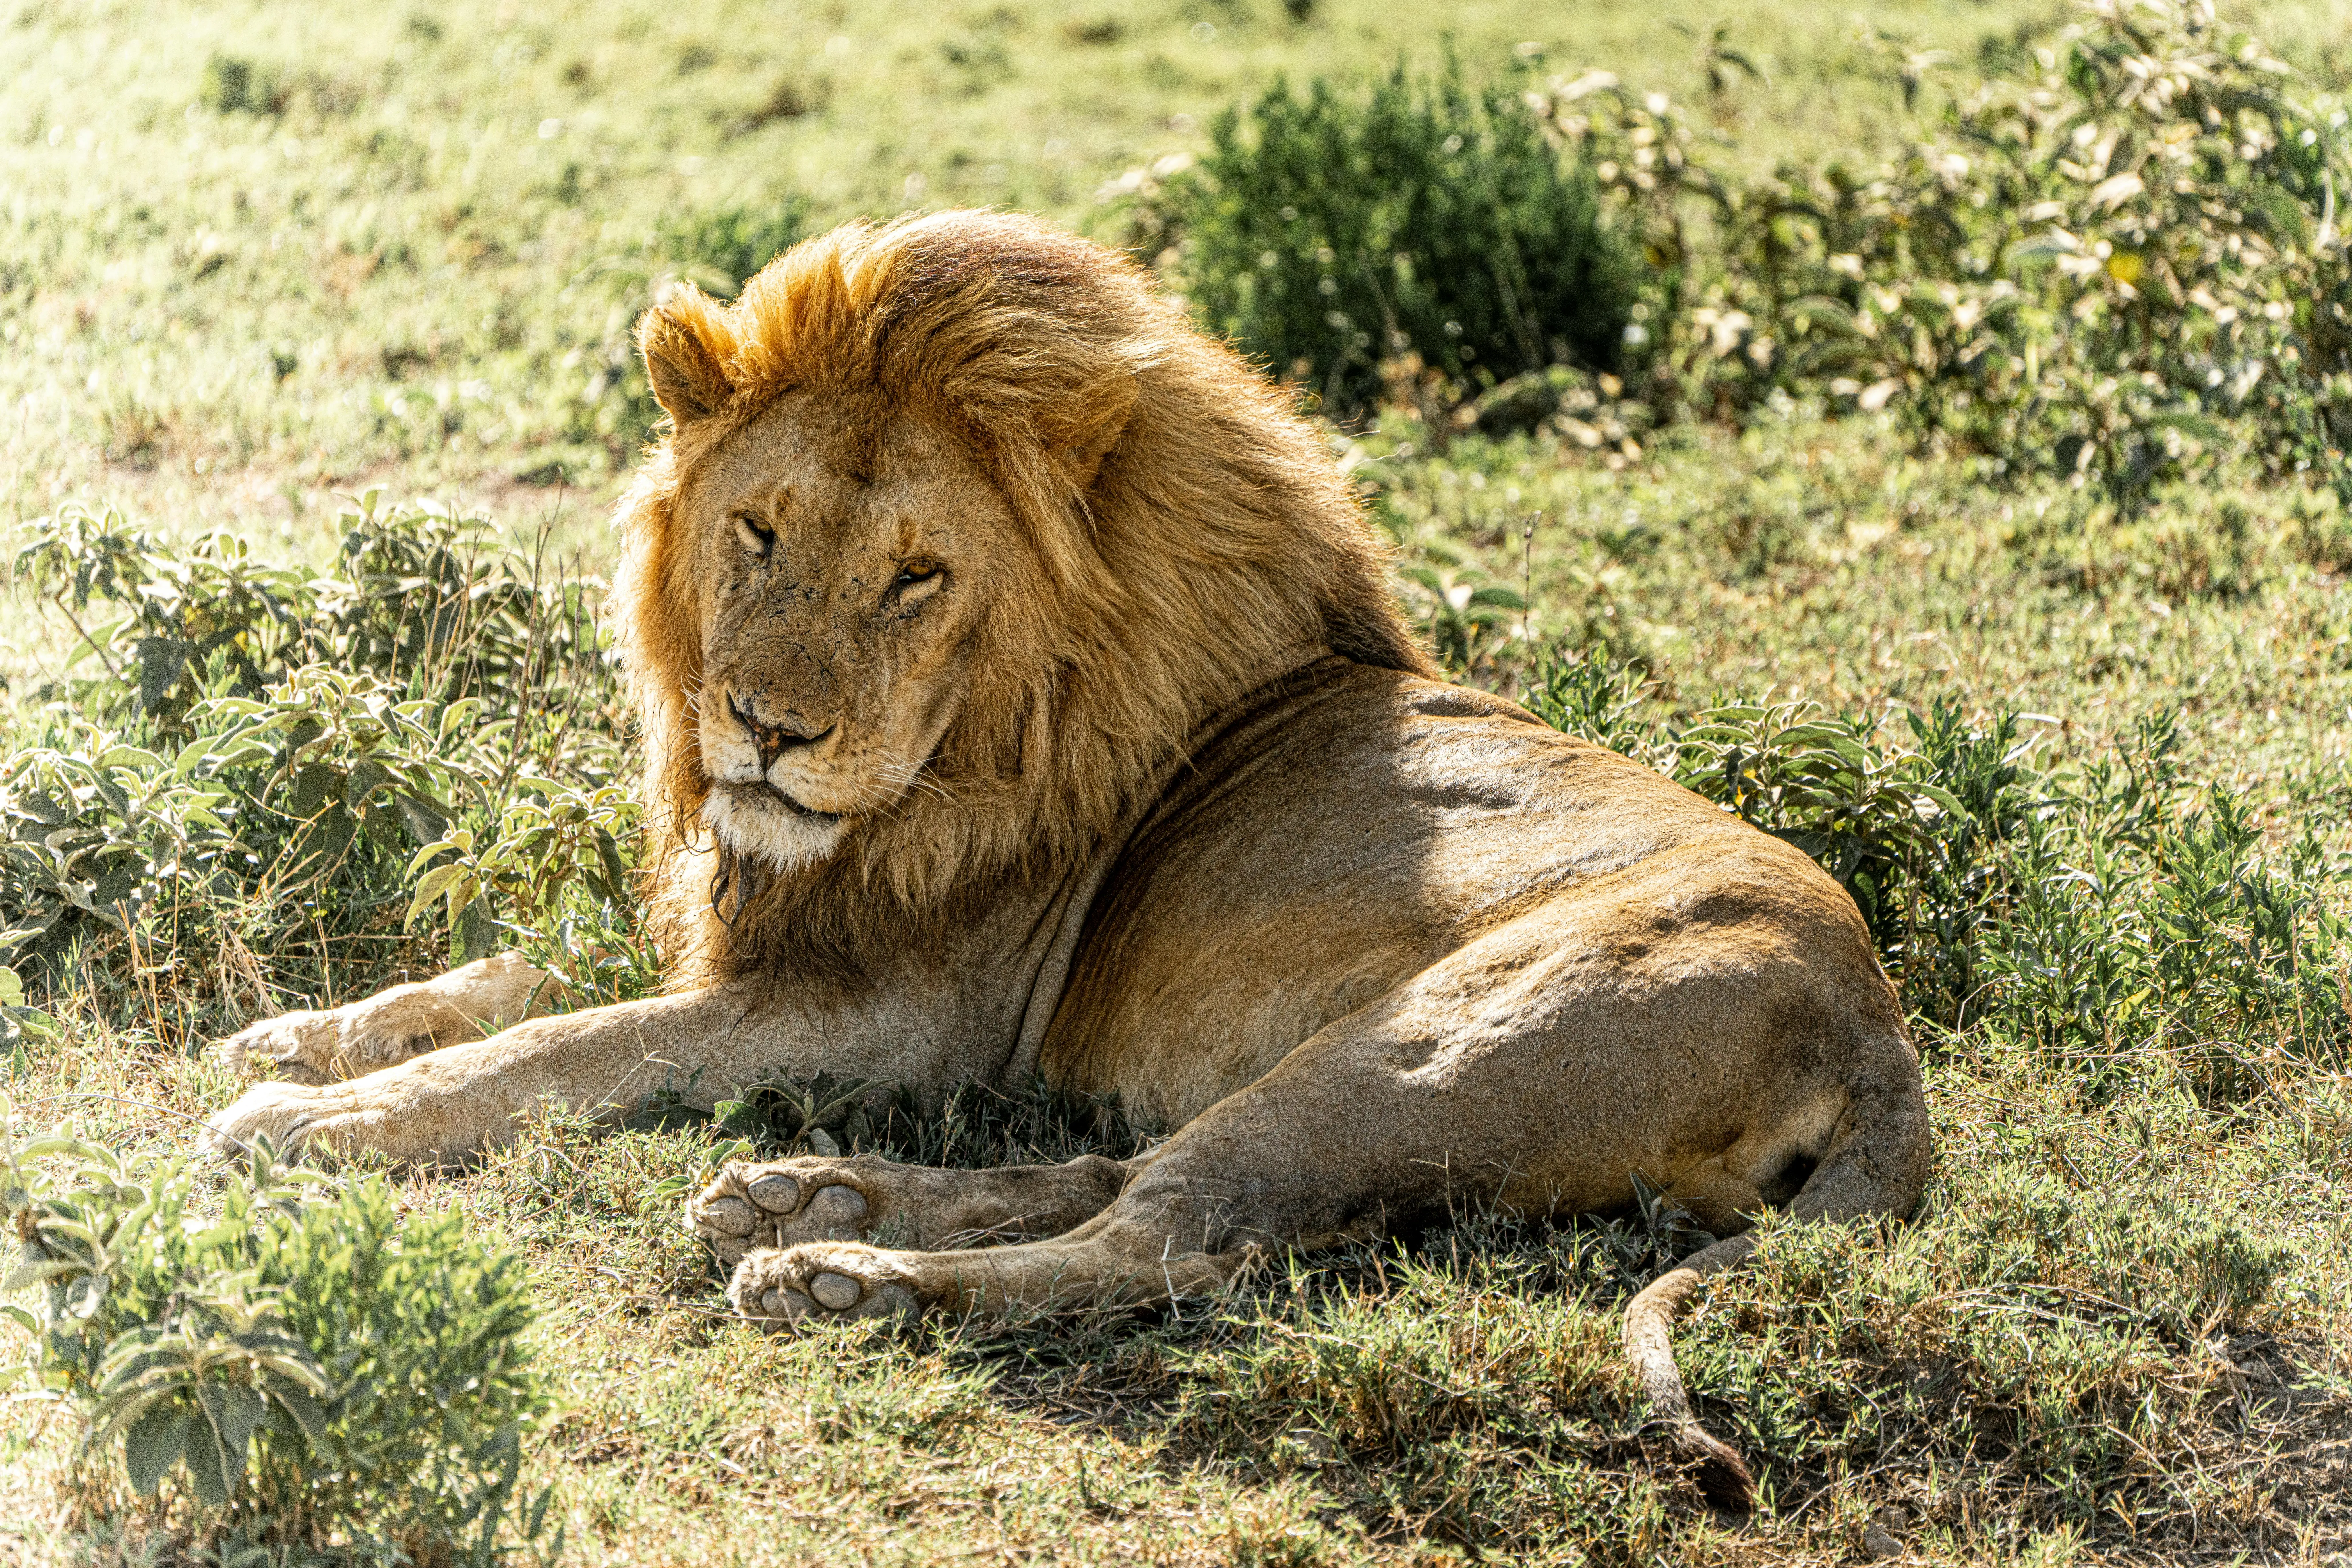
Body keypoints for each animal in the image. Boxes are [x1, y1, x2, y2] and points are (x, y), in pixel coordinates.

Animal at [206, 209, 1931, 1506]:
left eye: (917, 577)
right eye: (758, 532)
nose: (763, 731)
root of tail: (1881, 1033)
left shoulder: (898, 1008)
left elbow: (565, 1048)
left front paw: (312, 1121)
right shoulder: (780, 916)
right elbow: (523, 977)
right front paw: (301, 1035)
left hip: (1436, 1042)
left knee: (1179, 1236)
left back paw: (836, 1277)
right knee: (1127, 1172)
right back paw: (794, 1194)